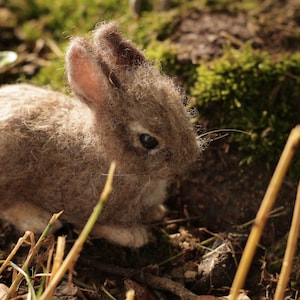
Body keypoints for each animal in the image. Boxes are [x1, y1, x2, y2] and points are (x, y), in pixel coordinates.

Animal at [0, 22, 202, 247]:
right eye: (148, 141)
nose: (189, 158)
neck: (110, 158)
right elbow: (96, 225)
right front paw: (133, 236)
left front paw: (157, 212)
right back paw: (38, 220)